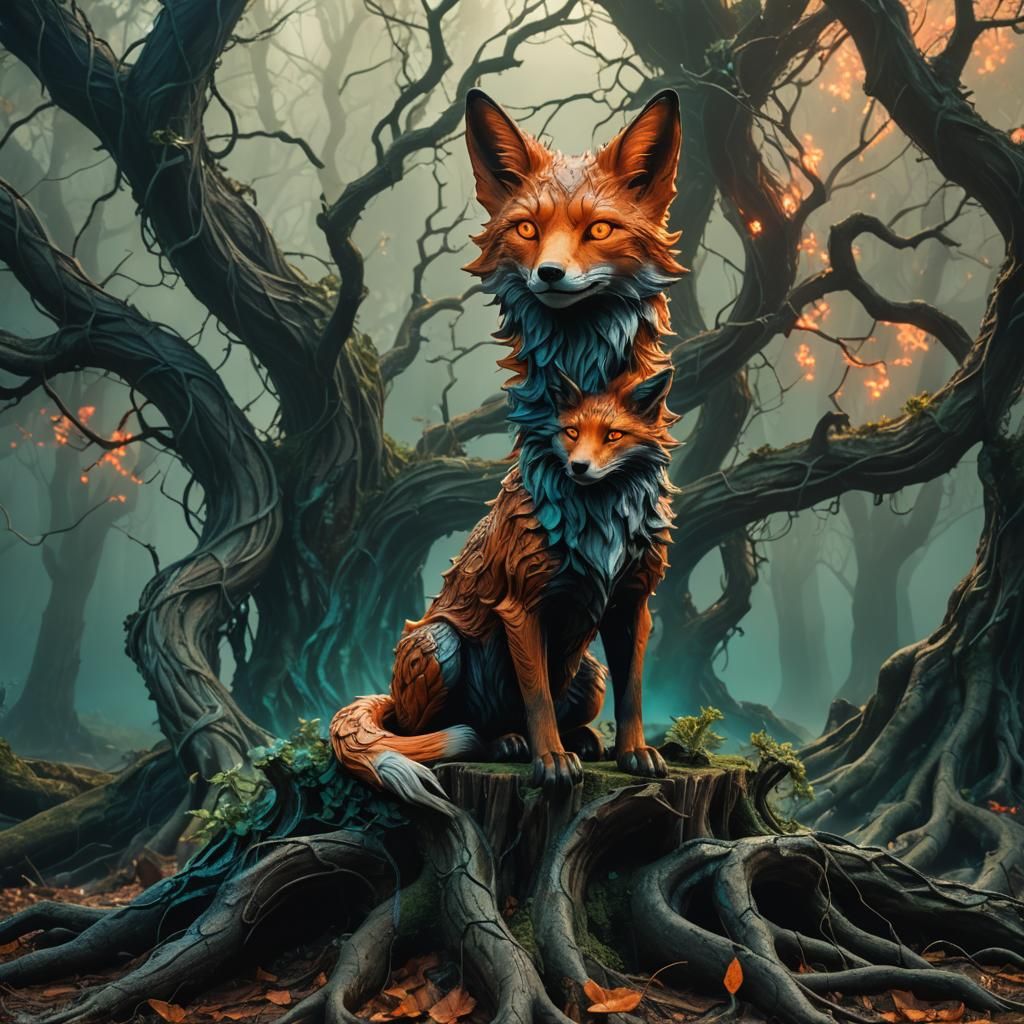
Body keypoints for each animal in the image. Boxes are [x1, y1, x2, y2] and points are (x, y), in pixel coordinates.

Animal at [330, 369, 678, 802]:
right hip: (436, 644)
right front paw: (551, 762)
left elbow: (631, 693)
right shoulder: (522, 607)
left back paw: (579, 739)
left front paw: (635, 754)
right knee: (435, 731)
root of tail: (392, 699)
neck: (599, 519)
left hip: (591, 675)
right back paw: (504, 743)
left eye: (614, 435)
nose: (578, 467)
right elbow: (538, 698)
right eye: (571, 431)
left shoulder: (632, 606)